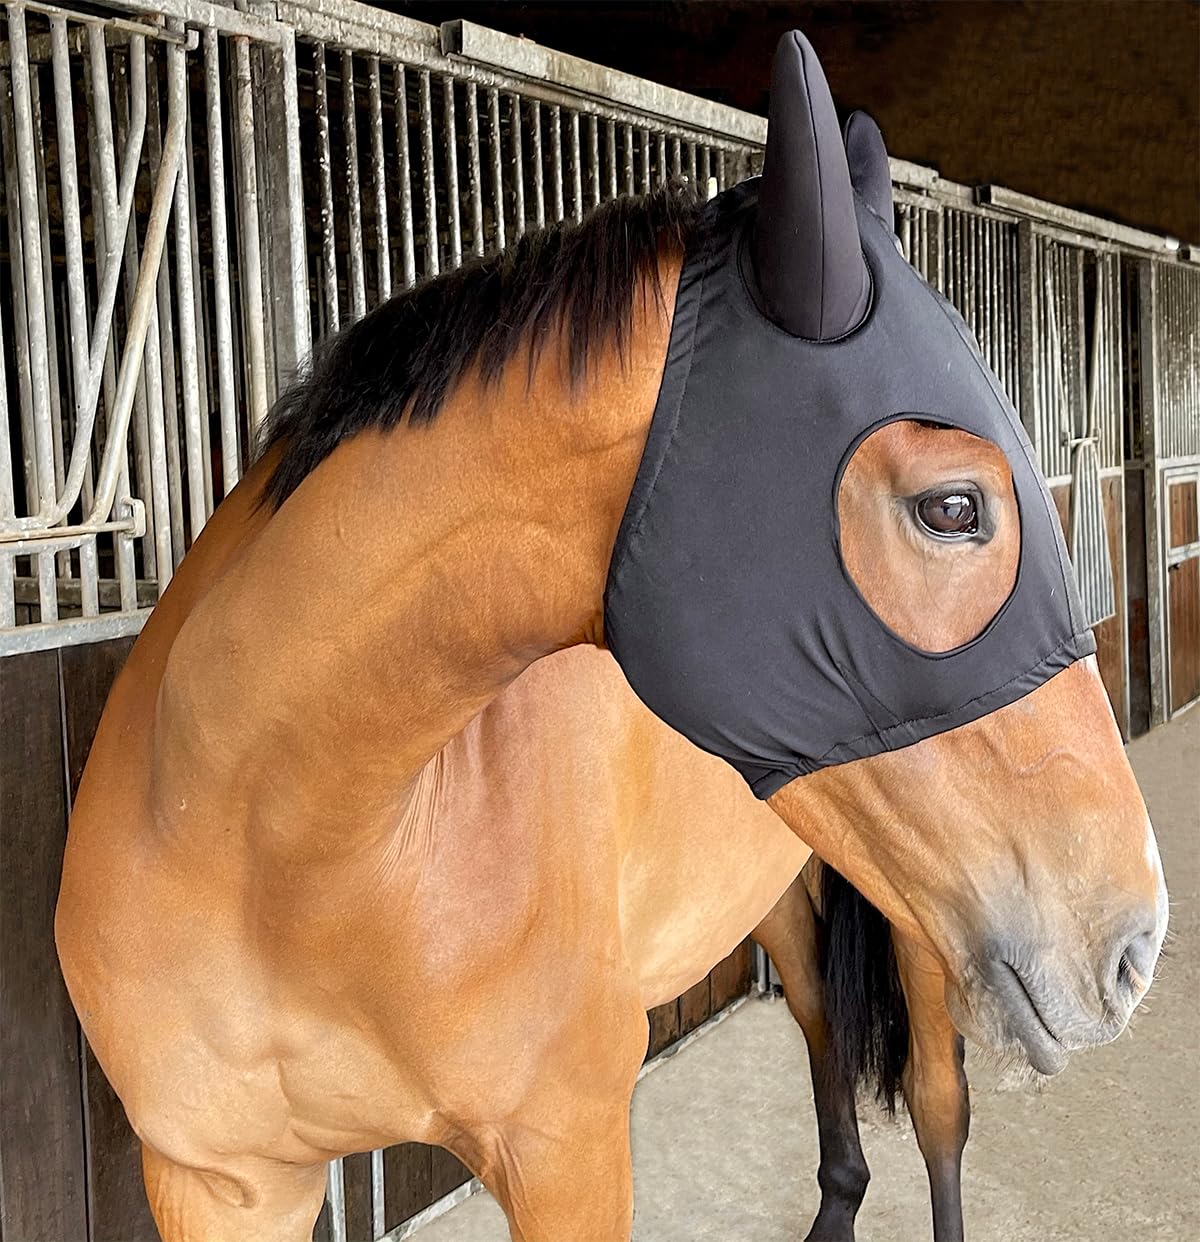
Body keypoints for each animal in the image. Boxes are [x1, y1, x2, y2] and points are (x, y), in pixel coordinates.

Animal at [55, 29, 1166, 1242]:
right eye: (953, 507)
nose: (1138, 945)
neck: (271, 848)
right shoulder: (216, 1180)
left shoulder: (568, 1150)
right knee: (820, 1021)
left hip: (920, 923)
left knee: (936, 1108)